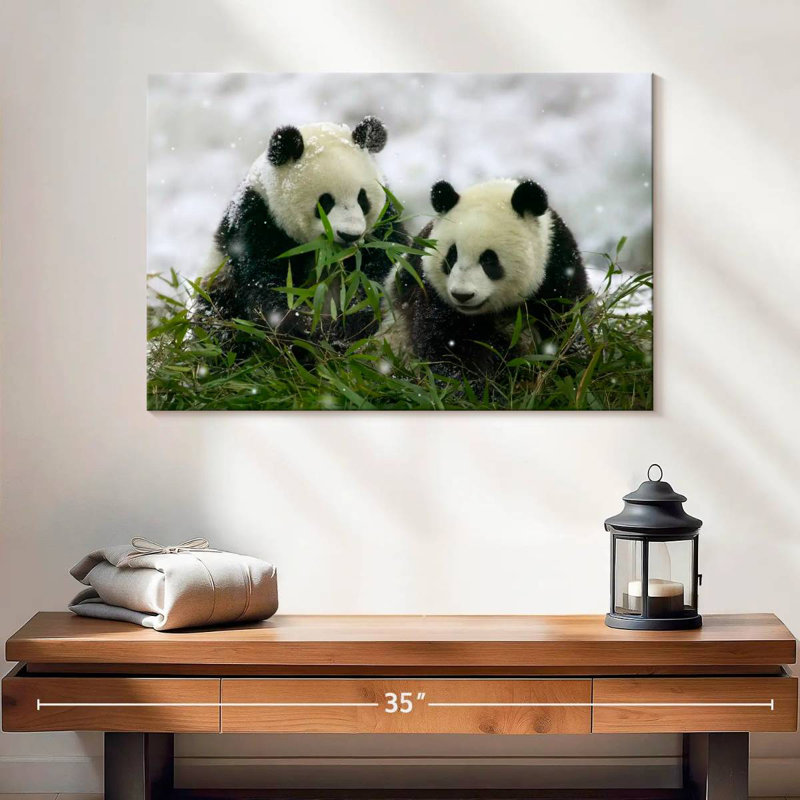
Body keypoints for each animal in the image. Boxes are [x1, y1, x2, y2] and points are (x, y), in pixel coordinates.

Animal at [198, 116, 406, 344]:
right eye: (325, 201)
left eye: (363, 199)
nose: (350, 235)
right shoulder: (257, 220)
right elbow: (266, 283)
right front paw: (302, 329)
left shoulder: (383, 225)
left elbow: (381, 268)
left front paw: (351, 321)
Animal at [381, 178, 590, 377]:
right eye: (451, 256)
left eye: (489, 259)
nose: (462, 295)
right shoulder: (429, 288)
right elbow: (448, 344)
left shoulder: (558, 266)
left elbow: (565, 324)